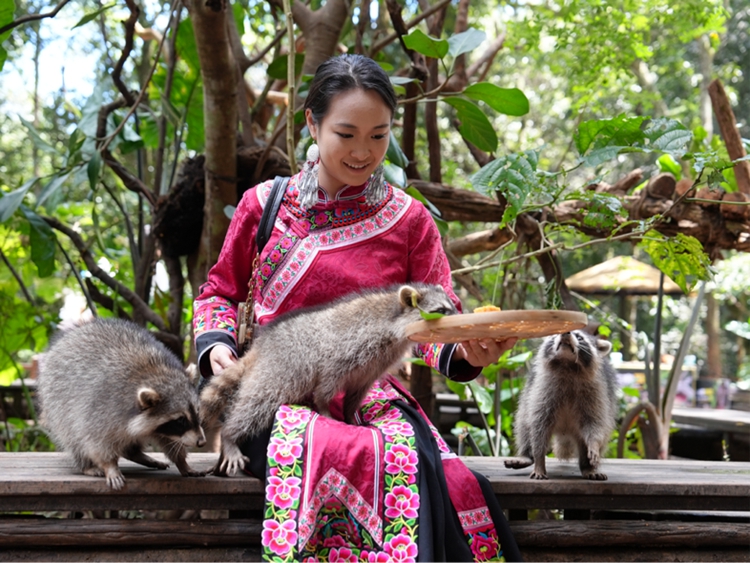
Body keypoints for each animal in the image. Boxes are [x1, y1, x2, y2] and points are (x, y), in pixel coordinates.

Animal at [39, 320, 206, 492]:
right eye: (180, 420)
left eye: (197, 413)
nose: (201, 442)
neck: (156, 373)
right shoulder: (101, 408)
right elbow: (96, 440)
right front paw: (109, 465)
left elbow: (171, 441)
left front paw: (182, 462)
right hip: (56, 400)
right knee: (73, 436)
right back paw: (86, 465)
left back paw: (136, 454)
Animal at [200, 282, 458, 476]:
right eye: (441, 310)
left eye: (452, 307)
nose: (459, 316)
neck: (395, 319)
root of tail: (262, 345)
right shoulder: (348, 347)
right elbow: (327, 383)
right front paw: (324, 406)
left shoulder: (374, 366)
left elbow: (357, 391)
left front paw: (350, 414)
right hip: (282, 368)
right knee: (258, 403)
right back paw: (230, 435)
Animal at [508, 330, 620, 480]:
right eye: (555, 334)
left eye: (579, 337)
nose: (565, 332)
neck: (567, 365)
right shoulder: (542, 390)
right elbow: (539, 427)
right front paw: (539, 460)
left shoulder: (597, 392)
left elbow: (595, 423)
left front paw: (594, 444)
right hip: (528, 397)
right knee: (524, 422)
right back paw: (527, 455)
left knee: (598, 433)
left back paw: (587, 467)